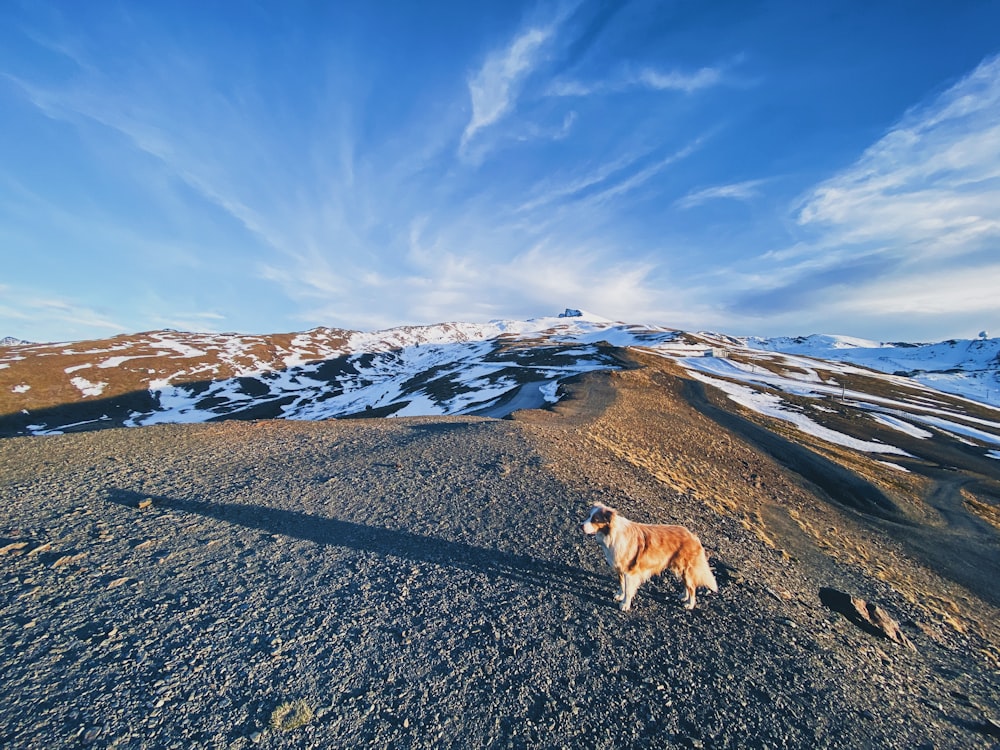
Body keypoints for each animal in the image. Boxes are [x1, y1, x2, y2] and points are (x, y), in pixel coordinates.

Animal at [584, 506, 716, 612]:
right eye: (588, 515)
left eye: (596, 520)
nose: (581, 525)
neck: (612, 535)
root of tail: (694, 537)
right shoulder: (620, 568)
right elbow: (621, 584)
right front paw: (620, 595)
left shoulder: (630, 572)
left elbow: (628, 590)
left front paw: (625, 605)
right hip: (679, 569)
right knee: (687, 585)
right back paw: (684, 597)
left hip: (686, 569)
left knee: (692, 587)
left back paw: (690, 604)